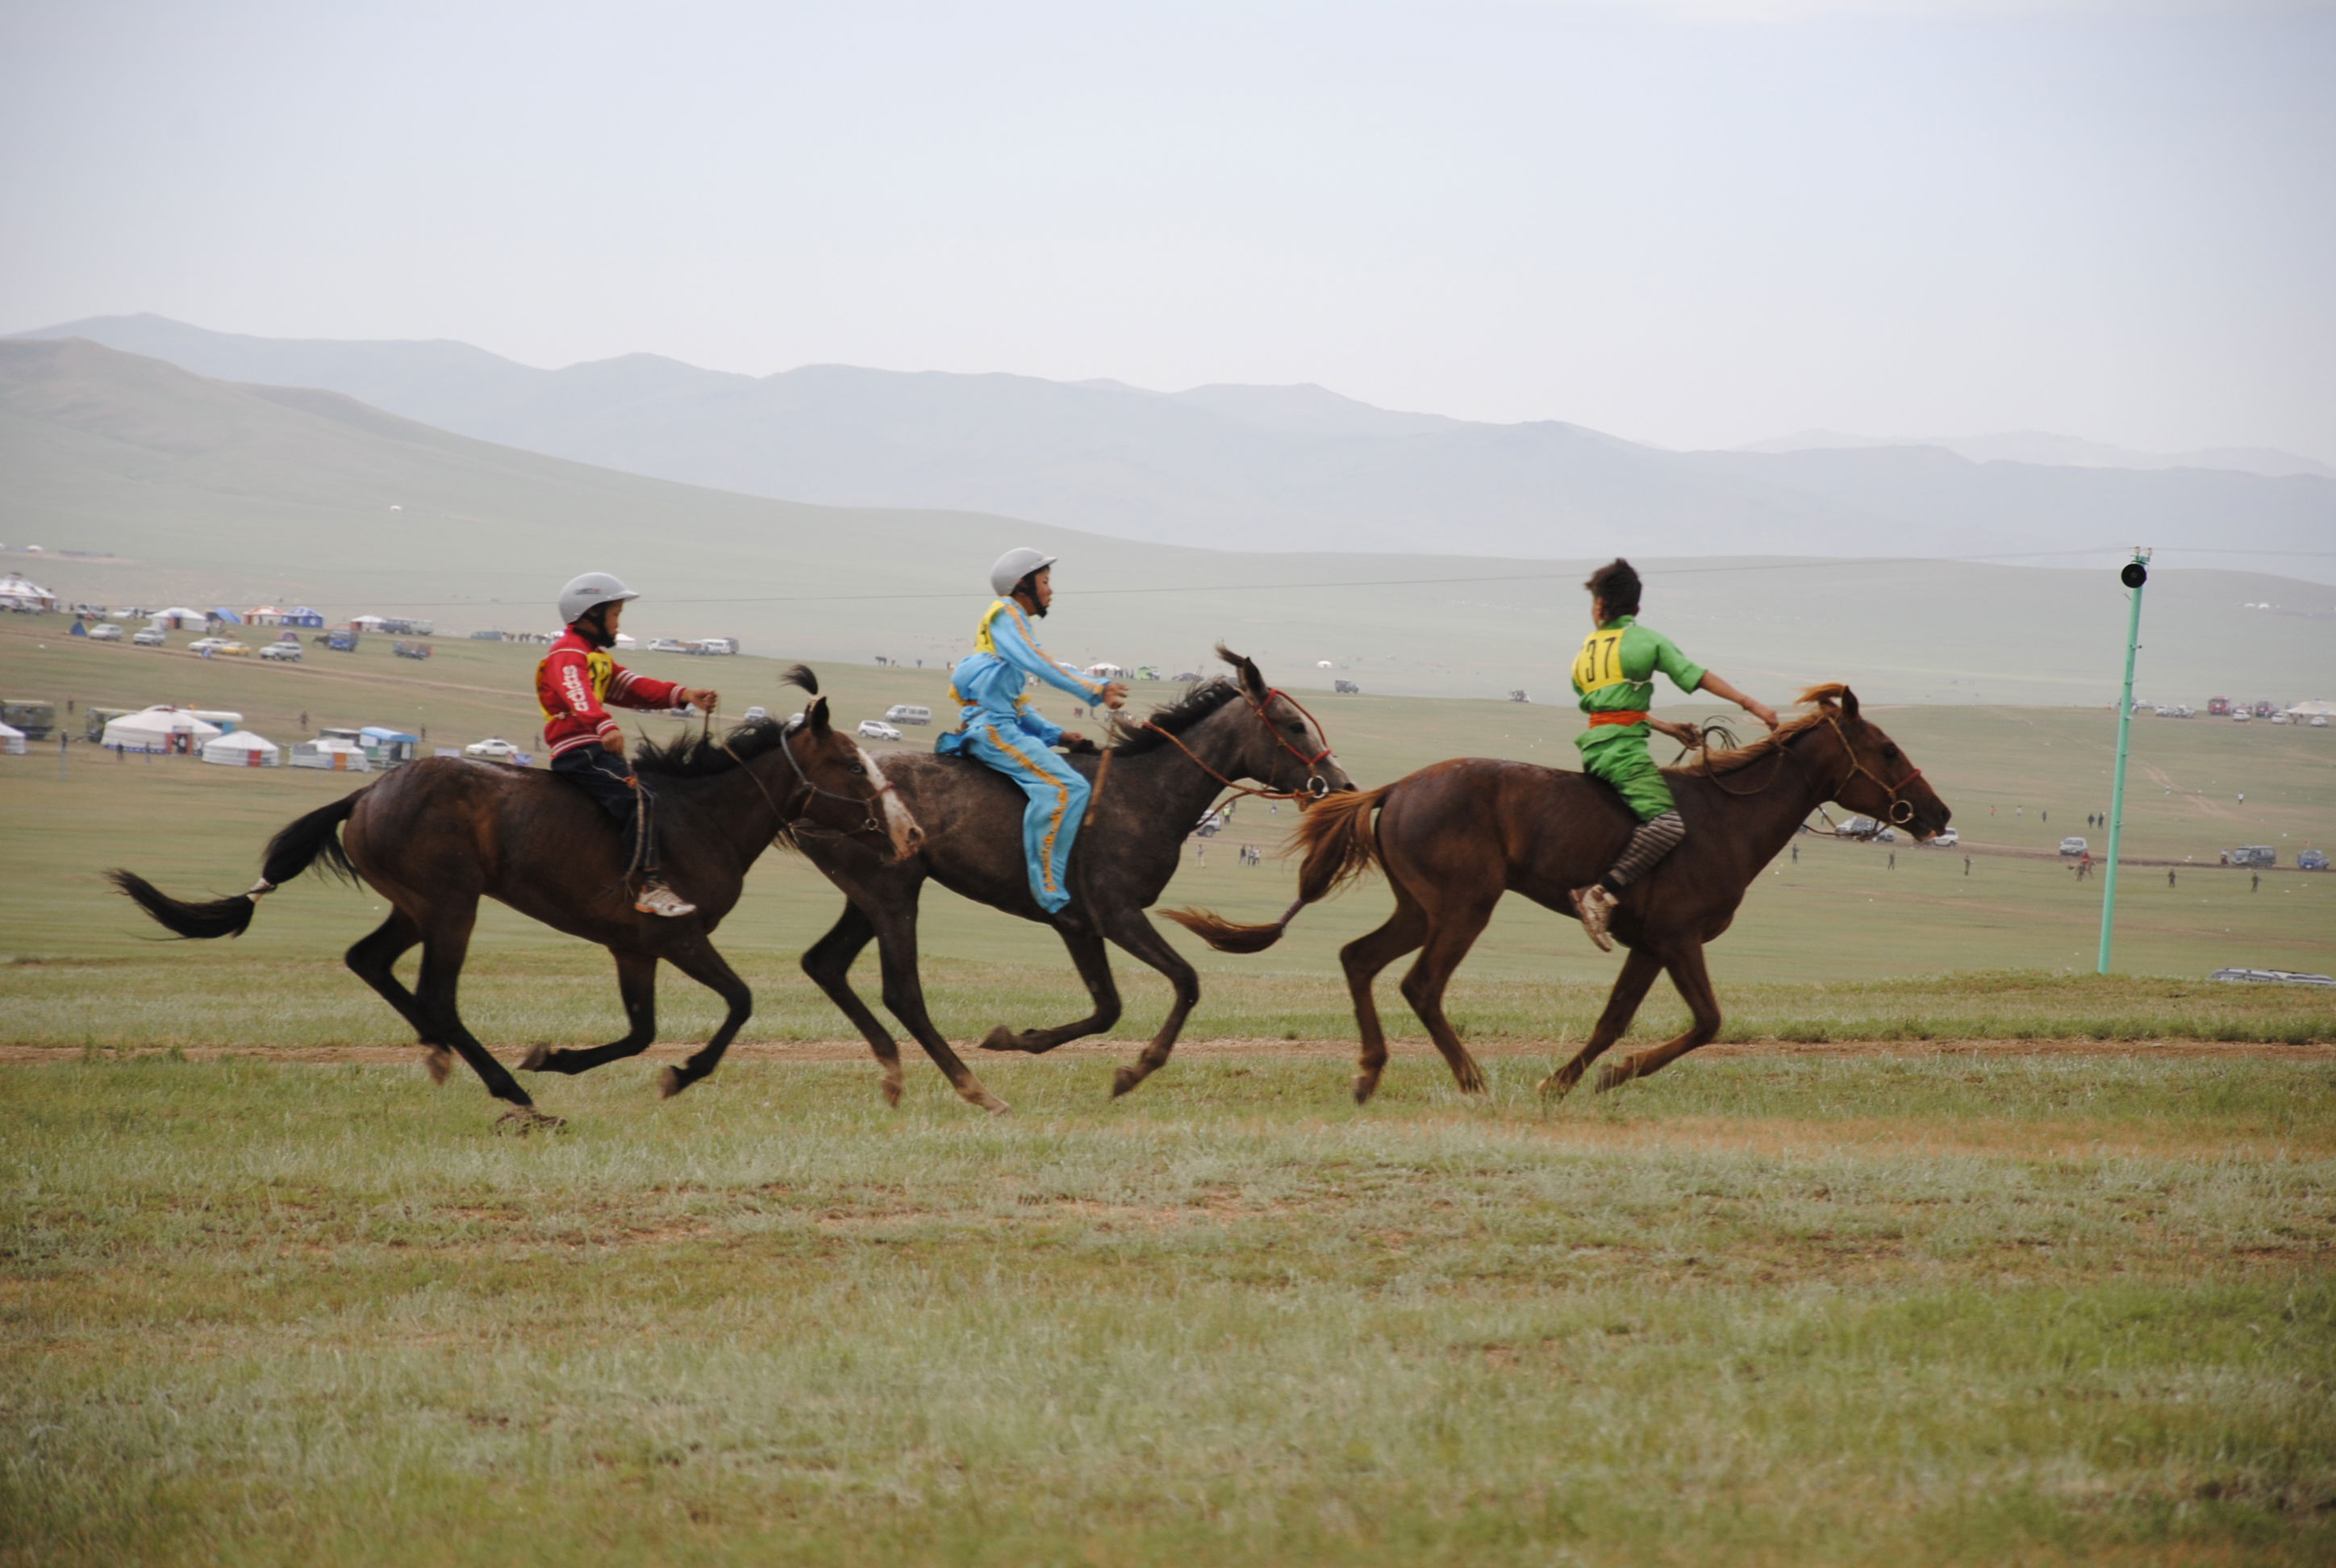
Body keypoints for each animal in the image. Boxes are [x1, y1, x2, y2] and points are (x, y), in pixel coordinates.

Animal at [110, 673, 916, 1131]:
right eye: (852, 764)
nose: (907, 831)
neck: (702, 816)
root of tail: (366, 791)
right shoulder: (681, 938)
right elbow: (738, 1004)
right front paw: (678, 1075)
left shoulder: (635, 948)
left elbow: (641, 1032)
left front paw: (557, 1057)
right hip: (450, 907)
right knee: (437, 994)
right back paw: (503, 1086)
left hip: (416, 907)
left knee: (370, 962)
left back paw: (445, 1058)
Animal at [789, 649, 1354, 1116]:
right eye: (1292, 725)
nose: (1341, 783)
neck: (1144, 792)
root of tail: (807, 796)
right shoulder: (1114, 914)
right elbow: (1184, 980)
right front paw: (1134, 1071)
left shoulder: (1079, 925)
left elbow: (1107, 1008)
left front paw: (1014, 1038)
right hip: (893, 894)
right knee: (902, 993)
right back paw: (978, 1092)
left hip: (869, 899)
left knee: (825, 963)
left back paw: (897, 1075)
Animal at [1168, 686, 1953, 1103]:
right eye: (1886, 749)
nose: (1938, 814)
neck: (1728, 817)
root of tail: (1396, 787)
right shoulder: (1678, 939)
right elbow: (1707, 1022)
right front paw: (1608, 1078)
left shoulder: (1650, 945)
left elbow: (1615, 1019)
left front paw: (1572, 1081)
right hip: (1464, 908)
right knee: (1422, 985)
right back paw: (1470, 1079)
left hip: (1418, 908)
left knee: (1360, 959)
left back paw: (1369, 1074)